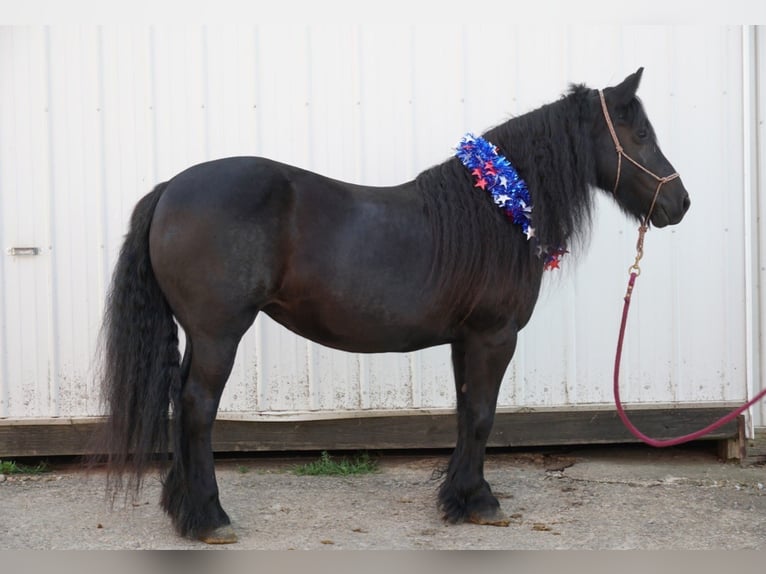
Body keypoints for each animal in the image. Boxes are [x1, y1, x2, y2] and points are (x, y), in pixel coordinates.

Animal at [96, 67, 690, 543]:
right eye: (640, 134)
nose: (680, 202)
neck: (495, 212)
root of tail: (171, 187)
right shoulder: (494, 336)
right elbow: (482, 415)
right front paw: (481, 502)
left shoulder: (465, 339)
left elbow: (466, 412)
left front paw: (460, 497)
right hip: (218, 334)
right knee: (198, 408)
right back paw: (209, 517)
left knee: (181, 406)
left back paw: (183, 509)